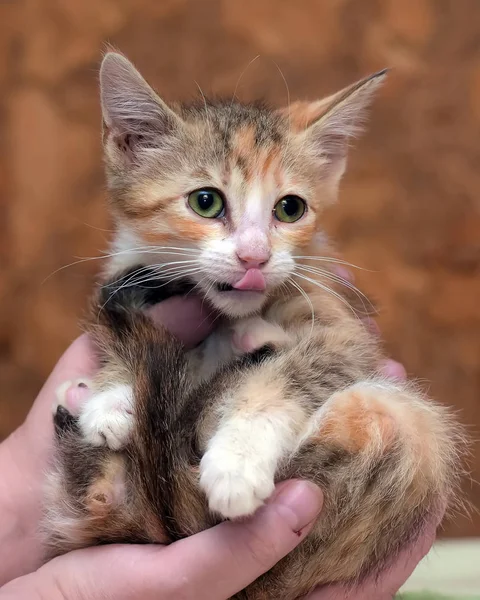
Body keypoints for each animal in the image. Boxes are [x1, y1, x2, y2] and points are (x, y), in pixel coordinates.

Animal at [42, 54, 464, 596]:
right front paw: (111, 394)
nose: (255, 257)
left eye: (291, 208)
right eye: (205, 201)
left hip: (402, 422)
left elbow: (307, 367)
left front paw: (238, 457)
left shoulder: (346, 331)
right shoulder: (129, 271)